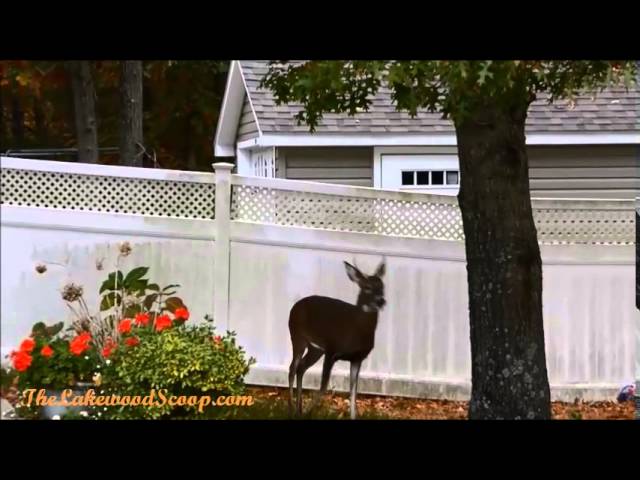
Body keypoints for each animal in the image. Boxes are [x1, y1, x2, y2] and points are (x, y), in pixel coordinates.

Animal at [287, 258, 386, 420]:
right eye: (367, 287)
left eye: (382, 286)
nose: (381, 301)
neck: (356, 329)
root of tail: (294, 306)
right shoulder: (332, 349)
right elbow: (323, 386)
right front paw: (308, 411)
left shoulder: (357, 358)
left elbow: (353, 391)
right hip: (297, 336)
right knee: (292, 368)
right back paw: (292, 409)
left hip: (315, 349)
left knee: (301, 368)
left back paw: (298, 409)